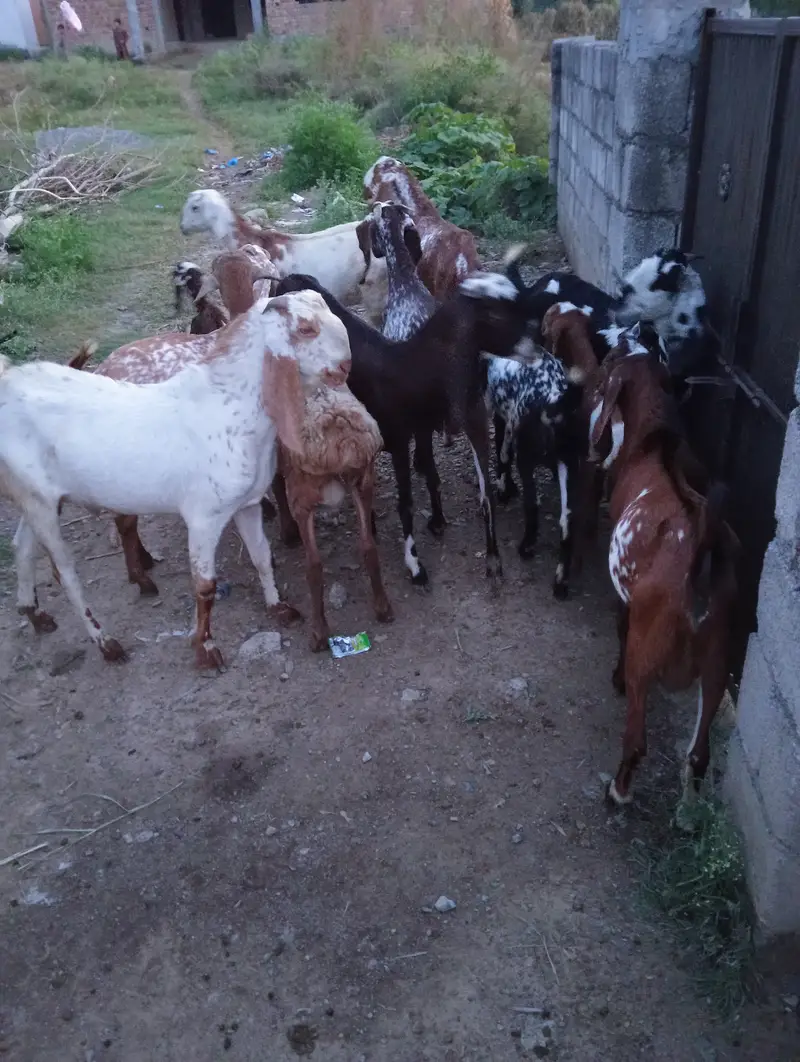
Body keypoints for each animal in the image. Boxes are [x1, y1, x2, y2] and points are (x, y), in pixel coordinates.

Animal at [5, 292, 350, 668]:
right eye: (306, 329)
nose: (346, 366)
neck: (230, 409)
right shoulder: (203, 517)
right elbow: (205, 585)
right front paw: (206, 648)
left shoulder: (247, 504)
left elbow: (261, 554)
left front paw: (278, 607)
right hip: (39, 503)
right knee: (65, 573)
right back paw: (106, 642)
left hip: (34, 497)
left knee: (22, 547)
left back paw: (34, 613)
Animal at [275, 270, 534, 587]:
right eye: (496, 314)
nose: (537, 348)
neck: (410, 368)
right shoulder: (398, 440)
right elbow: (406, 503)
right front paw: (414, 564)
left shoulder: (421, 430)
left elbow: (433, 476)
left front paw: (437, 521)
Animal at [276, 375, 393, 651]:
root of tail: (345, 443)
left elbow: (275, 487)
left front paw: (287, 533)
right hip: (363, 481)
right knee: (368, 545)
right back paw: (383, 607)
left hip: (302, 495)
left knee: (314, 565)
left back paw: (319, 633)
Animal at [589, 350, 738, 806]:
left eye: (610, 371)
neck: (655, 444)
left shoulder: (627, 599)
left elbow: (620, 625)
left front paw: (614, 678)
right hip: (718, 662)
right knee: (699, 754)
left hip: (647, 651)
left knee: (637, 739)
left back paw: (618, 792)